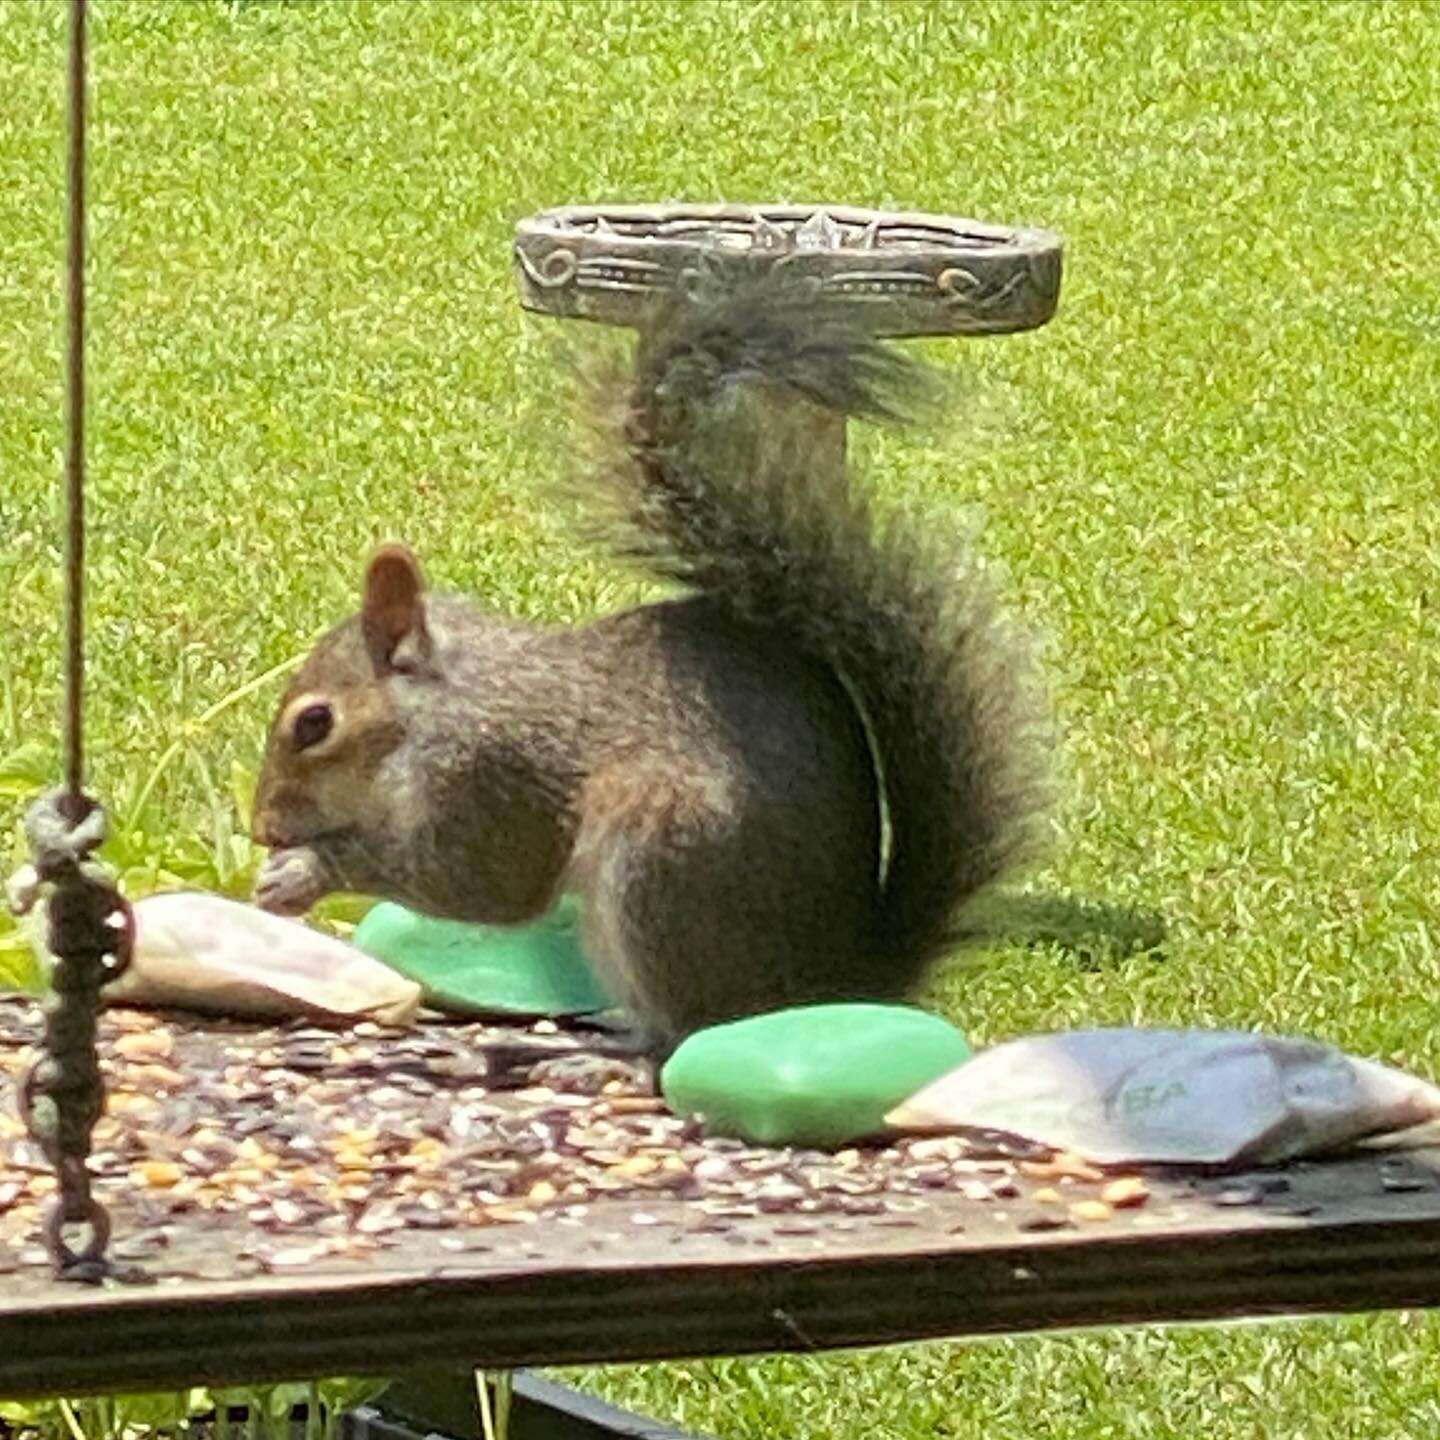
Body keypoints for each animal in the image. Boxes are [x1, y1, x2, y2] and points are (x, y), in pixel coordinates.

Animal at [253, 264, 1048, 1054]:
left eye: (314, 724)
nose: (262, 827)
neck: (438, 708)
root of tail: (833, 984)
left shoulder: (488, 777)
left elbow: (483, 883)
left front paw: (304, 871)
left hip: (661, 865)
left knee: (683, 1029)